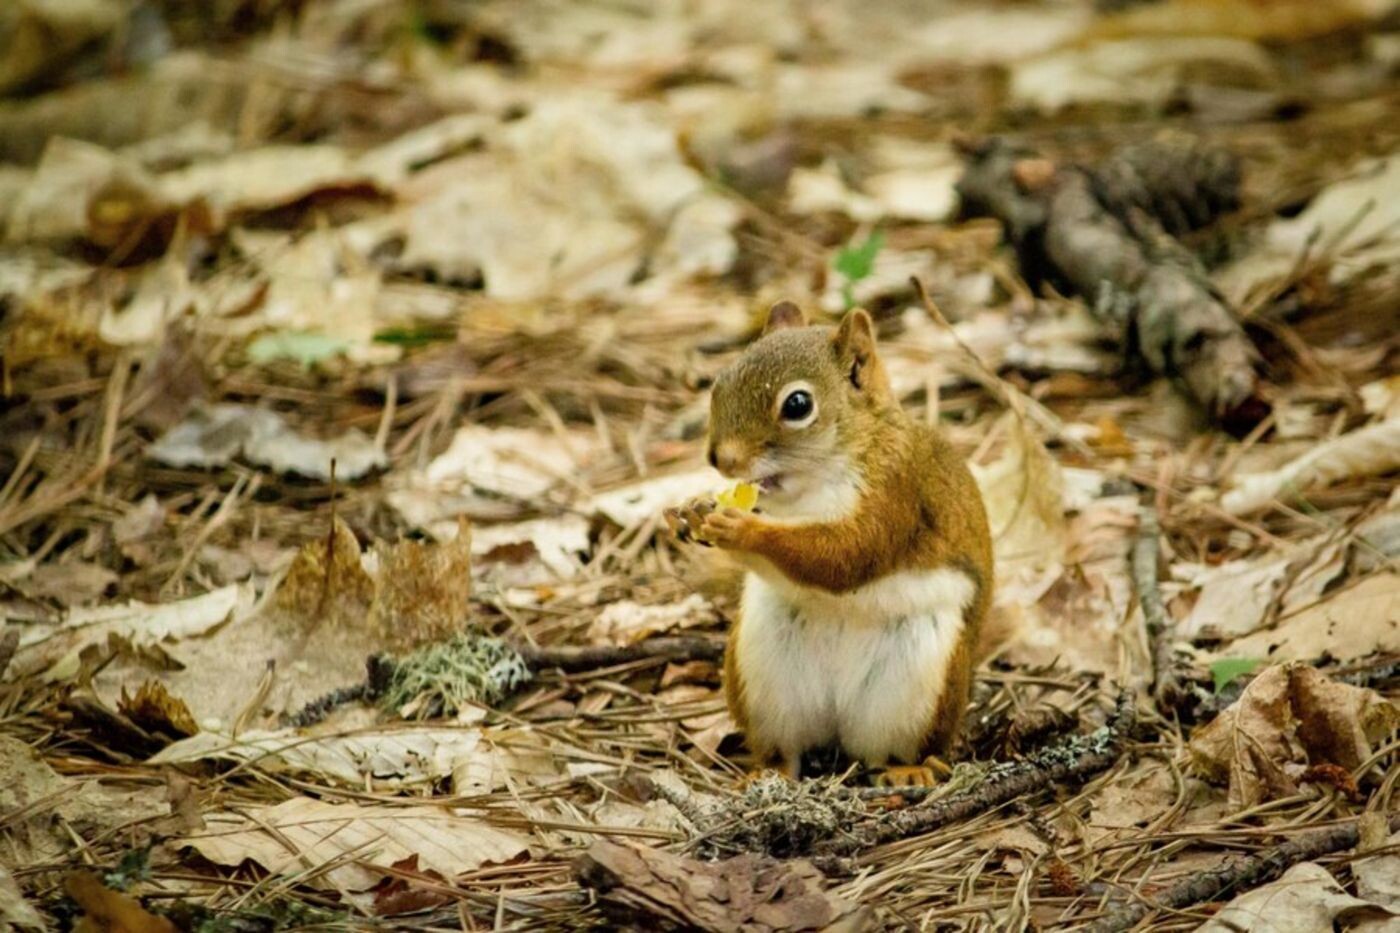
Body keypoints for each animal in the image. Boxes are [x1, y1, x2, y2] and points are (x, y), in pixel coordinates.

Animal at [666, 300, 993, 787]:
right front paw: (690, 510)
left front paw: (742, 529)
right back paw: (768, 772)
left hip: (924, 682)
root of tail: (837, 724)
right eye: (719, 383)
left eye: (798, 404)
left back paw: (909, 769)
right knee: (785, 748)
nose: (720, 459)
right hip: (761, 675)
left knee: (898, 748)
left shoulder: (897, 489)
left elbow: (845, 556)